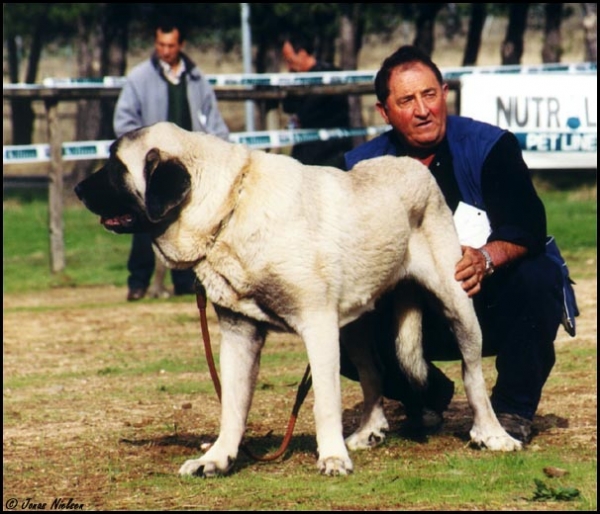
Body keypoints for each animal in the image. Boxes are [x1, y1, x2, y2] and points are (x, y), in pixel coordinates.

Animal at [75, 122, 524, 474]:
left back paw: (492, 434)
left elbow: (324, 399)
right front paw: (217, 458)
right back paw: (368, 430)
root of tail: (416, 166)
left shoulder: (317, 325)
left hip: (457, 305)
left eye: (115, 167)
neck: (229, 209)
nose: (78, 188)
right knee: (374, 373)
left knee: (472, 374)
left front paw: (332, 458)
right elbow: (231, 406)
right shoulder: (239, 334)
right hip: (354, 326)